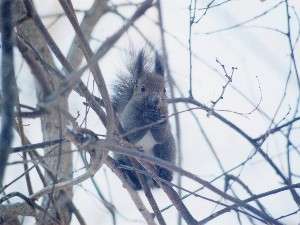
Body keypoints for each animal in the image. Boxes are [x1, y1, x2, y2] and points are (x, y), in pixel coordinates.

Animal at [112, 50, 176, 190]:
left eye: (164, 90)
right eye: (142, 88)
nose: (155, 100)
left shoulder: (166, 118)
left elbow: (161, 135)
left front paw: (155, 119)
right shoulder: (128, 118)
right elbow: (132, 132)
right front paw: (146, 117)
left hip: (166, 149)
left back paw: (165, 175)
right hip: (123, 154)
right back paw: (131, 177)